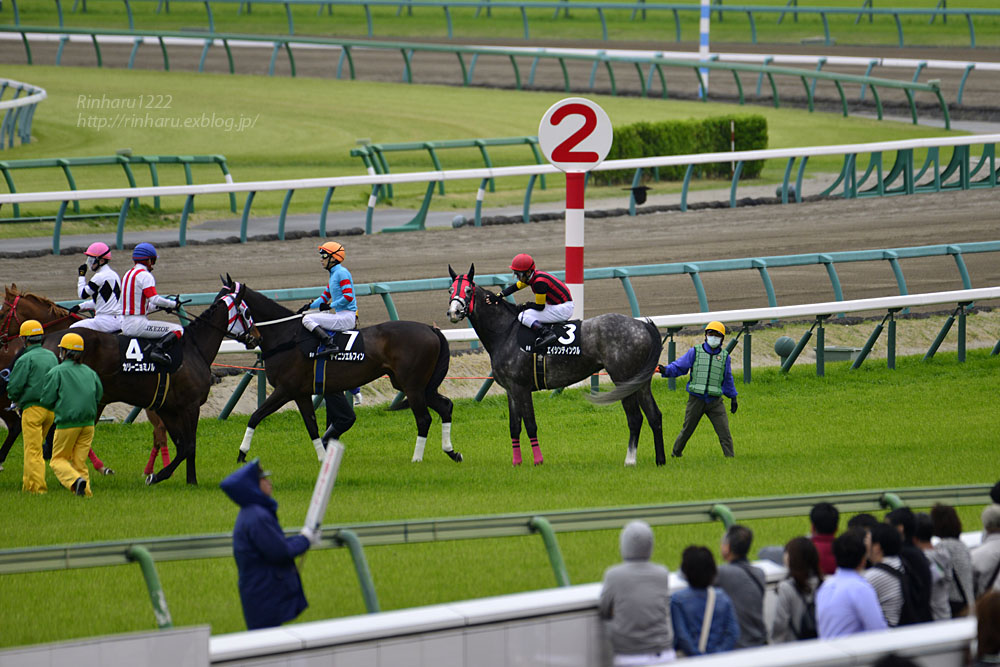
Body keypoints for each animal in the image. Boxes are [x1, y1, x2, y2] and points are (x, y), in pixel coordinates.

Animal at [38, 282, 249, 486]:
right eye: (246, 313)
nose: (254, 336)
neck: (193, 349)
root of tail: (49, 339)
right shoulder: (190, 406)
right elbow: (189, 445)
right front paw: (161, 476)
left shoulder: (168, 408)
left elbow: (182, 445)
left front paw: (185, 480)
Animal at [219, 276, 460, 464]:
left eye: (226, 303)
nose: (251, 340)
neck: (287, 337)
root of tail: (431, 328)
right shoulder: (301, 394)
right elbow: (312, 426)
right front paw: (323, 458)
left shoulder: (285, 390)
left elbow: (255, 416)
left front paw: (242, 454)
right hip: (413, 385)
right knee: (445, 406)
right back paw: (452, 452)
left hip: (413, 385)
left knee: (424, 419)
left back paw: (417, 458)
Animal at [446, 264, 664, 468]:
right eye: (450, 290)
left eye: (468, 290)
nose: (453, 312)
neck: (505, 332)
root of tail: (642, 325)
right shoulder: (511, 390)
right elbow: (514, 426)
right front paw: (517, 462)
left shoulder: (521, 387)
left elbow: (531, 424)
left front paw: (538, 461)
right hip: (641, 381)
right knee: (654, 415)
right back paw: (660, 459)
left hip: (622, 379)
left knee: (635, 418)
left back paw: (630, 460)